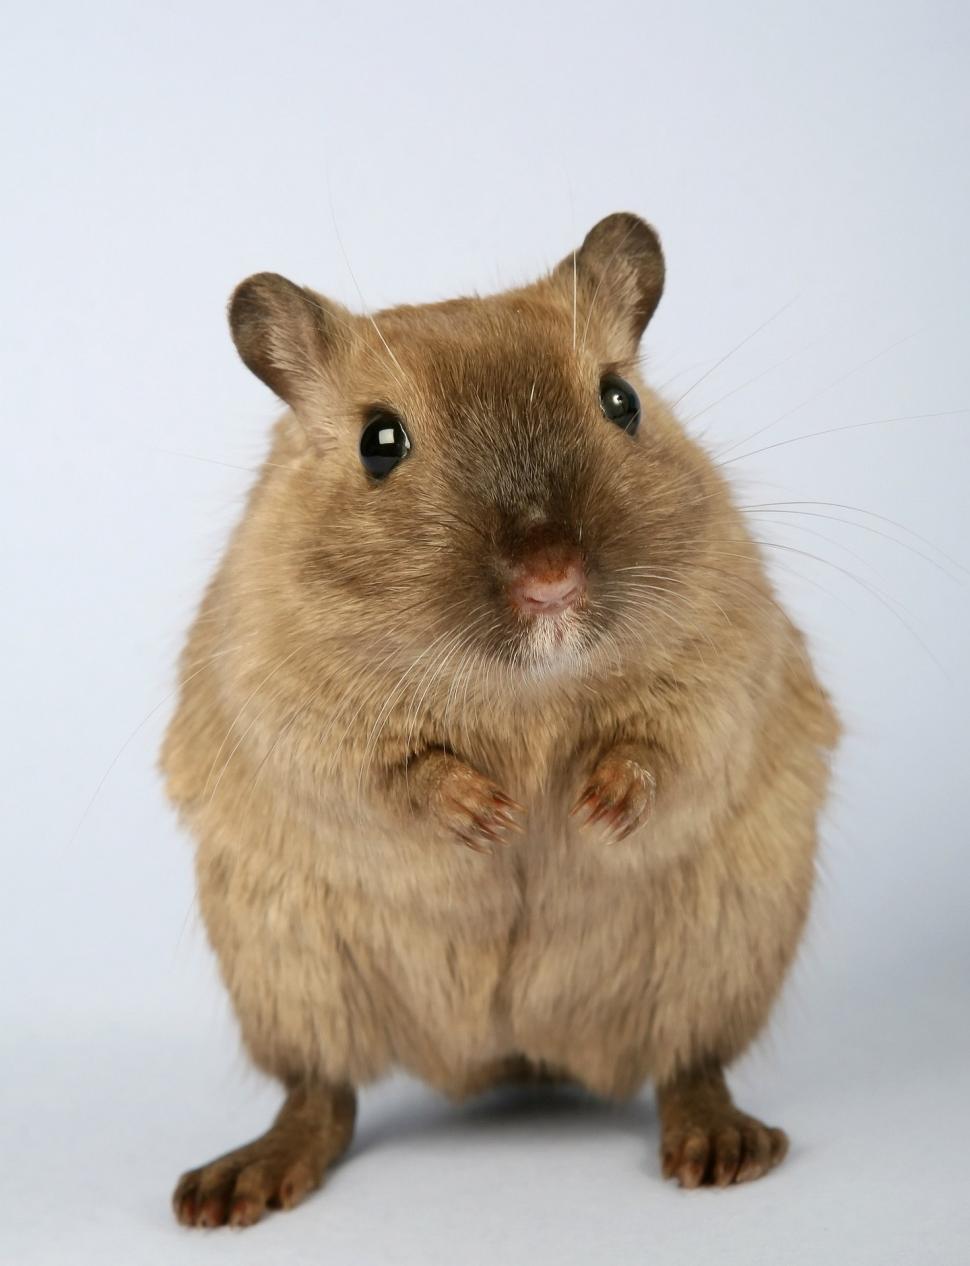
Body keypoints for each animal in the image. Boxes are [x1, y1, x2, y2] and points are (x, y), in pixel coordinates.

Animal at [163, 215, 840, 1225]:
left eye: (620, 400)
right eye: (379, 441)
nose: (552, 580)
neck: (523, 686)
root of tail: (511, 1050)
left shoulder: (726, 658)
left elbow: (668, 742)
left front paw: (595, 807)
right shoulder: (289, 705)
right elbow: (386, 774)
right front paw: (489, 817)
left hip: (721, 951)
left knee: (690, 1061)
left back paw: (720, 1145)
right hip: (289, 973)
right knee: (322, 1091)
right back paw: (234, 1187)